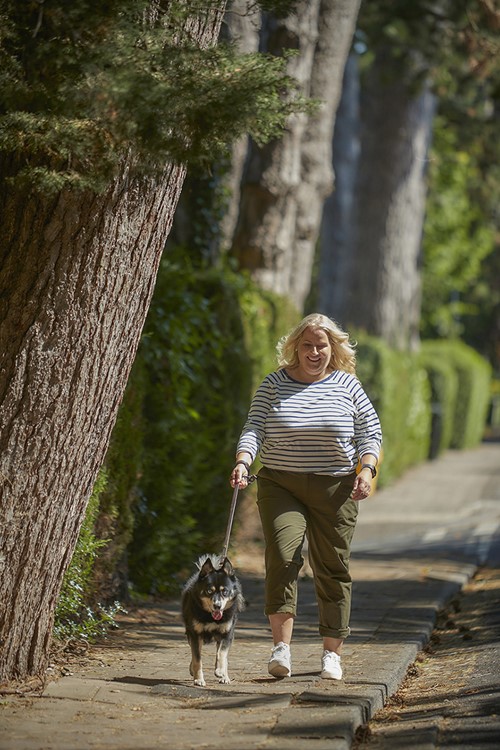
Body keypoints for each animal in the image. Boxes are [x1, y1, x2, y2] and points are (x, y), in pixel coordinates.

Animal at [184, 556, 246, 692]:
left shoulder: (227, 635)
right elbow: (197, 659)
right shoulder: (195, 634)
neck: (210, 617)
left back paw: (224, 676)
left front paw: (220, 671)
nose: (217, 606)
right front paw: (198, 679)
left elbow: (222, 654)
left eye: (225, 592)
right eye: (209, 591)